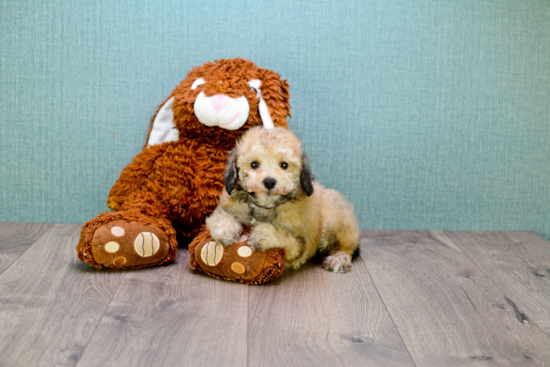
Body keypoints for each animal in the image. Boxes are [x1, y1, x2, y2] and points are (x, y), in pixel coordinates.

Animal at [207, 126, 362, 274]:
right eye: (254, 164)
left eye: (284, 165)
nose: (269, 182)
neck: (265, 207)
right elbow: (220, 214)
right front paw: (224, 229)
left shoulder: (300, 245)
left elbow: (287, 238)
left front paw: (264, 234)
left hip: (334, 214)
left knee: (347, 247)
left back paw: (338, 259)